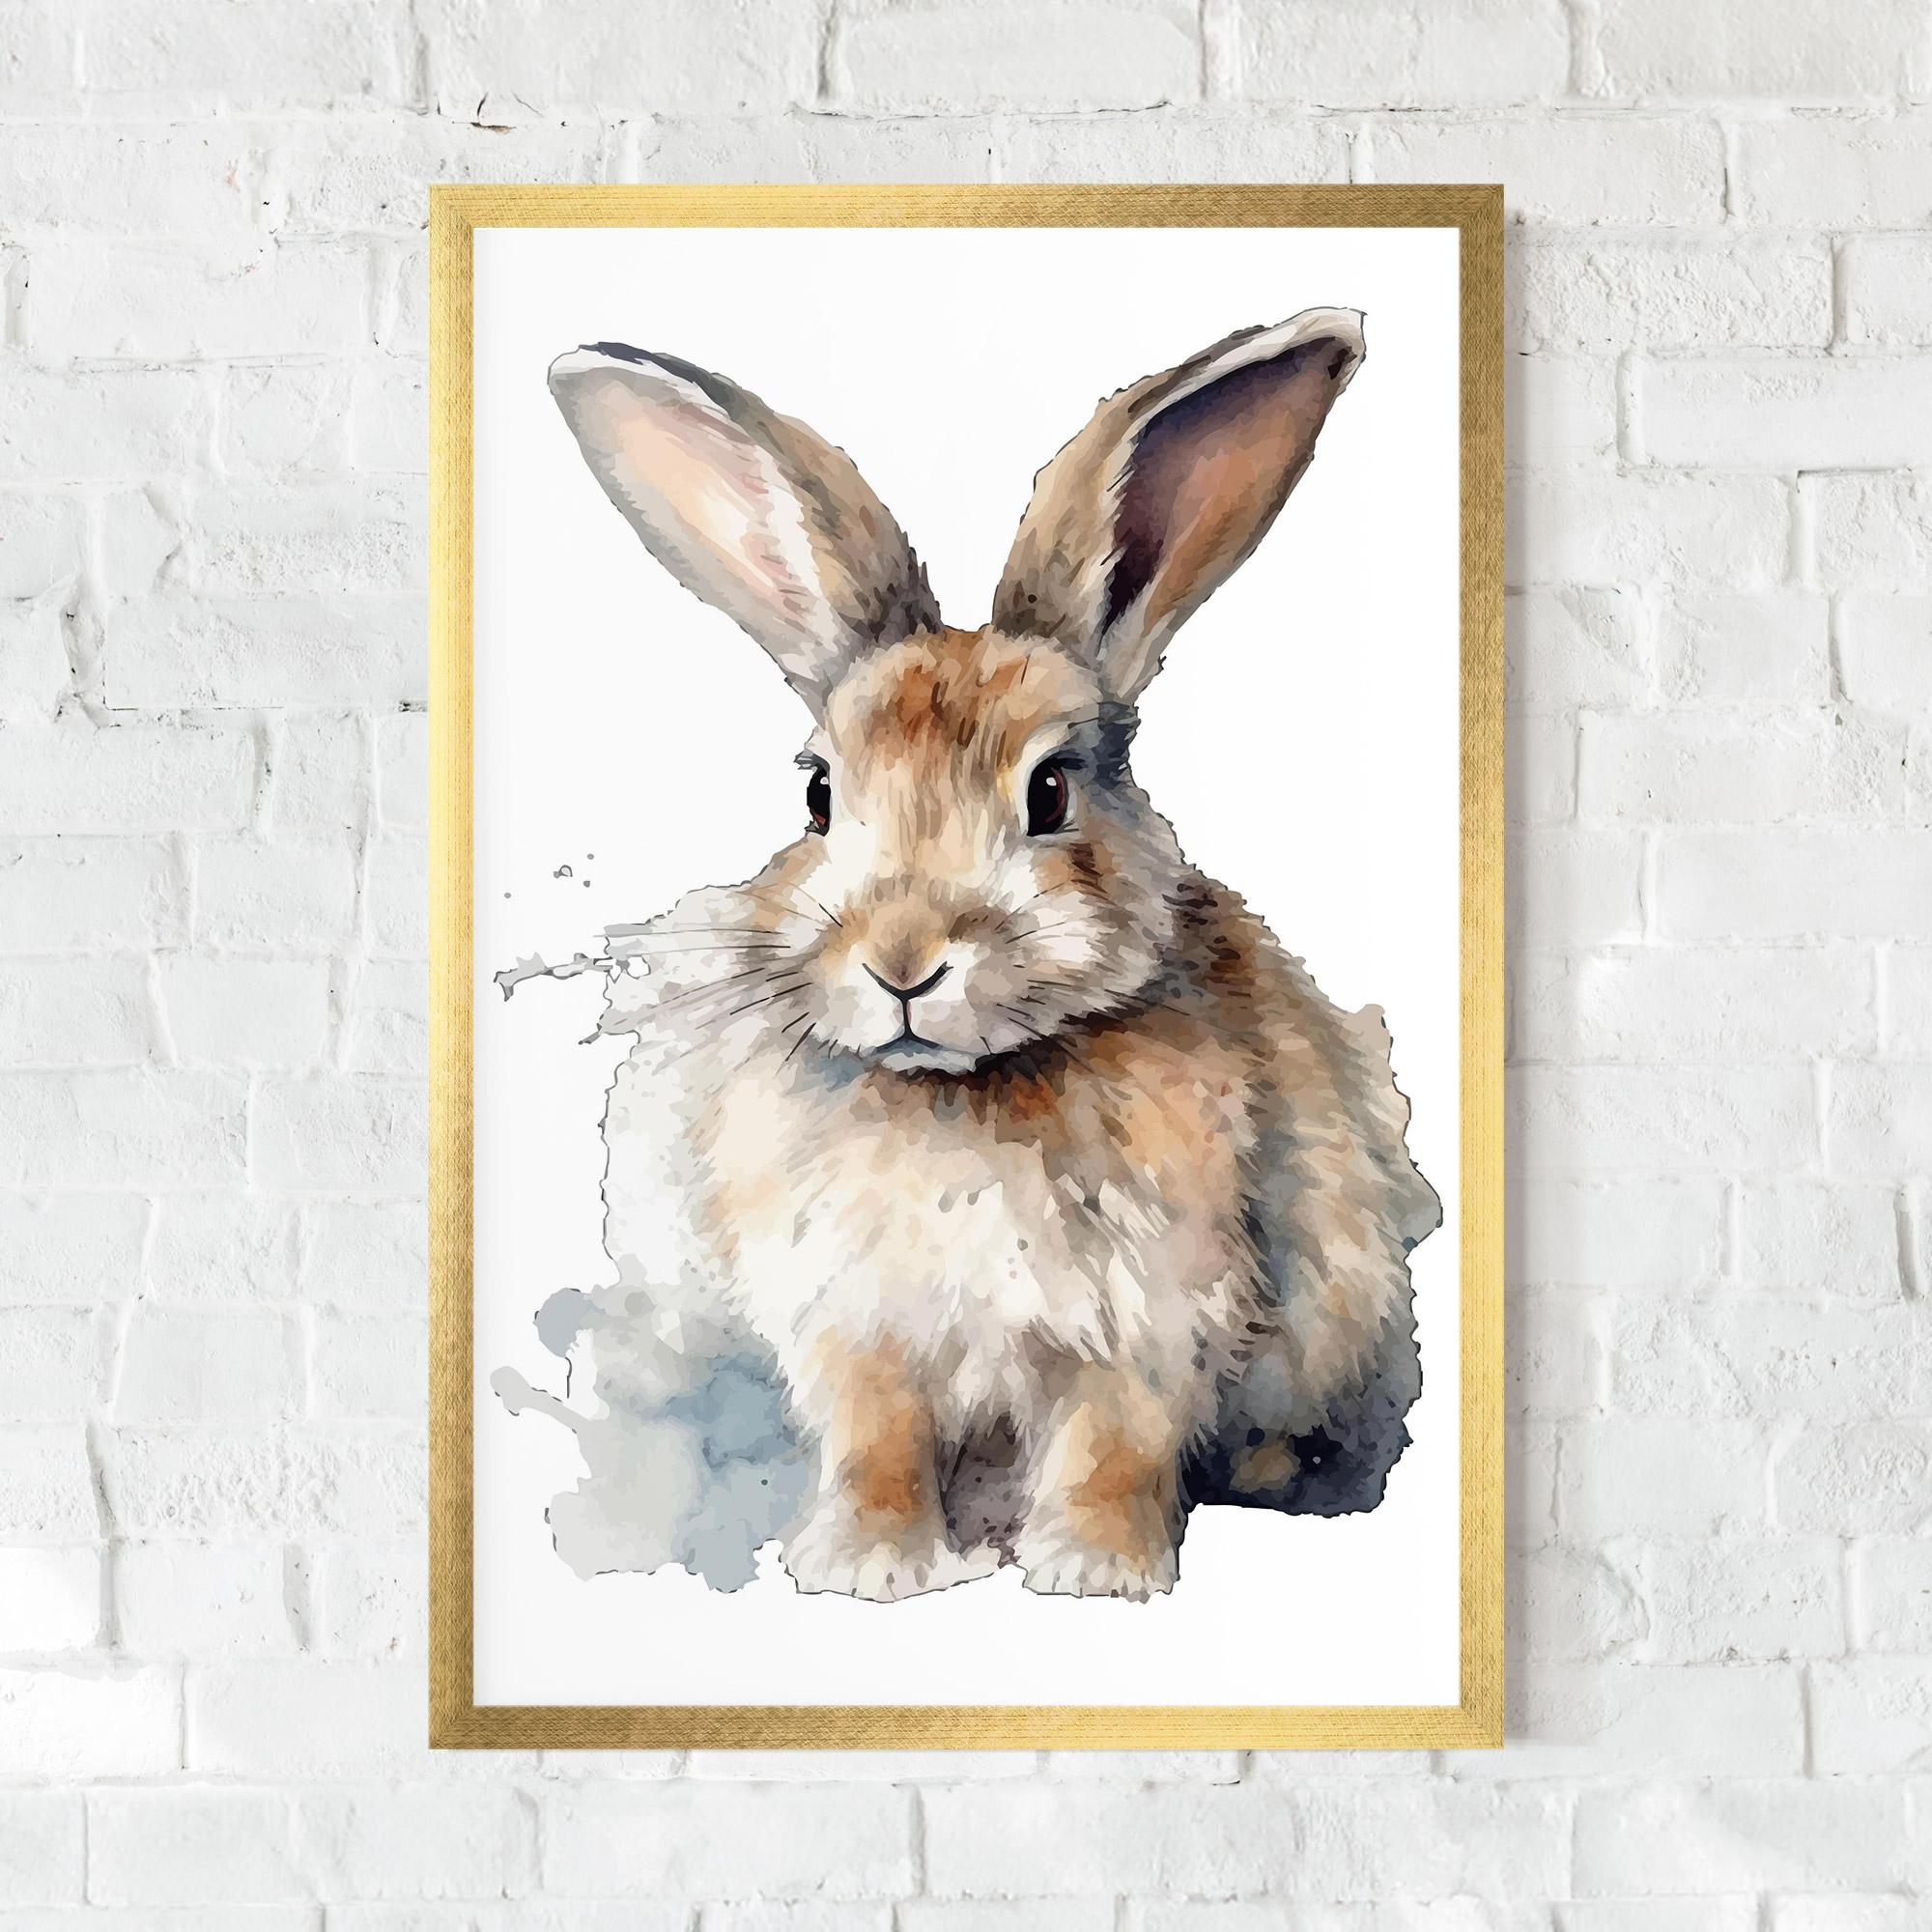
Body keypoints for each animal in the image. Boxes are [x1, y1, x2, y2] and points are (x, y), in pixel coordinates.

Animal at [546, 308, 1440, 1602]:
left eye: (1051, 789)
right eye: (818, 795)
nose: (903, 961)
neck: (960, 1090)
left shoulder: (1149, 1319)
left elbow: (1112, 1444)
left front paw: (1096, 1573)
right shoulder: (860, 1327)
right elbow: (877, 1440)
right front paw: (866, 1567)